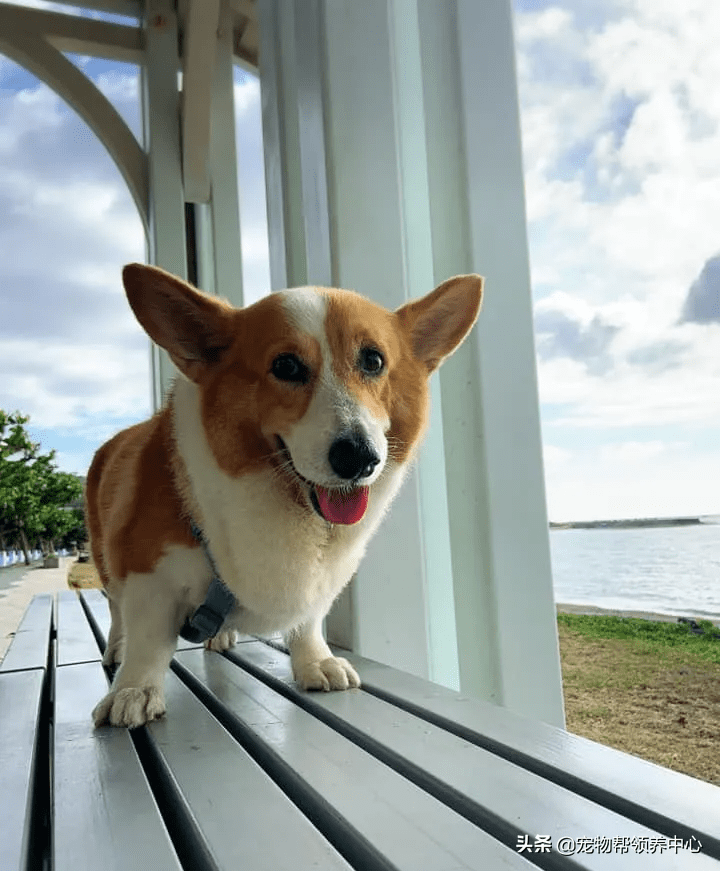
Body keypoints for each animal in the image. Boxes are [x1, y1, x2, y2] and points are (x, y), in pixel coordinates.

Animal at [86, 266, 484, 728]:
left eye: (373, 360)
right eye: (286, 366)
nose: (359, 457)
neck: (288, 505)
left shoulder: (320, 584)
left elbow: (309, 621)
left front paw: (316, 662)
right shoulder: (148, 574)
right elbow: (149, 638)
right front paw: (134, 690)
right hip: (104, 557)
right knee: (117, 612)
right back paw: (118, 649)